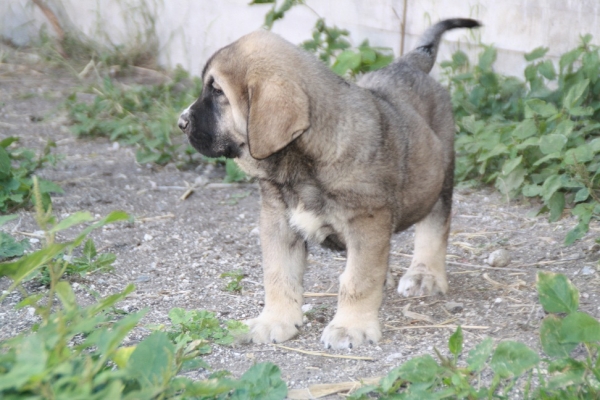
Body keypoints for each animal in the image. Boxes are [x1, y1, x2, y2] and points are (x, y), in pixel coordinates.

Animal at [179, 18, 482, 348]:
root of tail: (409, 63)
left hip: (439, 179)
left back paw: (424, 275)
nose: (181, 122)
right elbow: (278, 274)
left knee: (434, 228)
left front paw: (351, 326)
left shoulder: (367, 220)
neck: (301, 165)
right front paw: (275, 320)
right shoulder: (277, 220)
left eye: (217, 91)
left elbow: (358, 279)